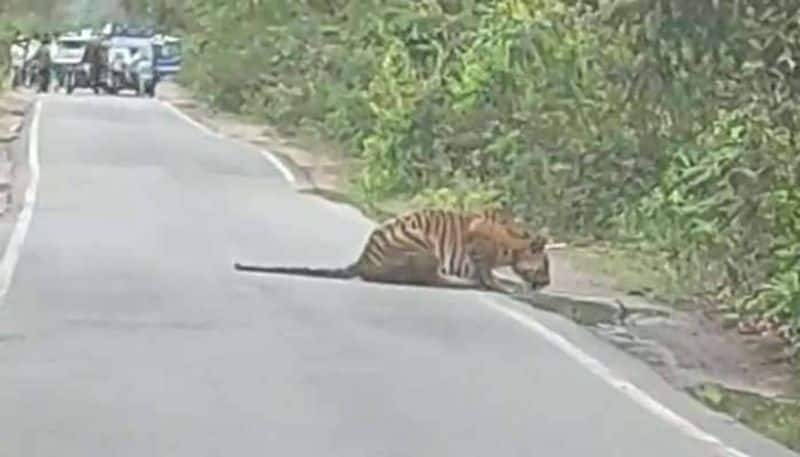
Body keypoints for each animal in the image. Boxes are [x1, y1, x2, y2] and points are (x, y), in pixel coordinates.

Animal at [234, 208, 552, 294]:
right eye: (546, 267)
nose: (548, 282)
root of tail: (363, 259)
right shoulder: (479, 252)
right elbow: (489, 276)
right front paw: (507, 287)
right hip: (423, 245)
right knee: (426, 279)